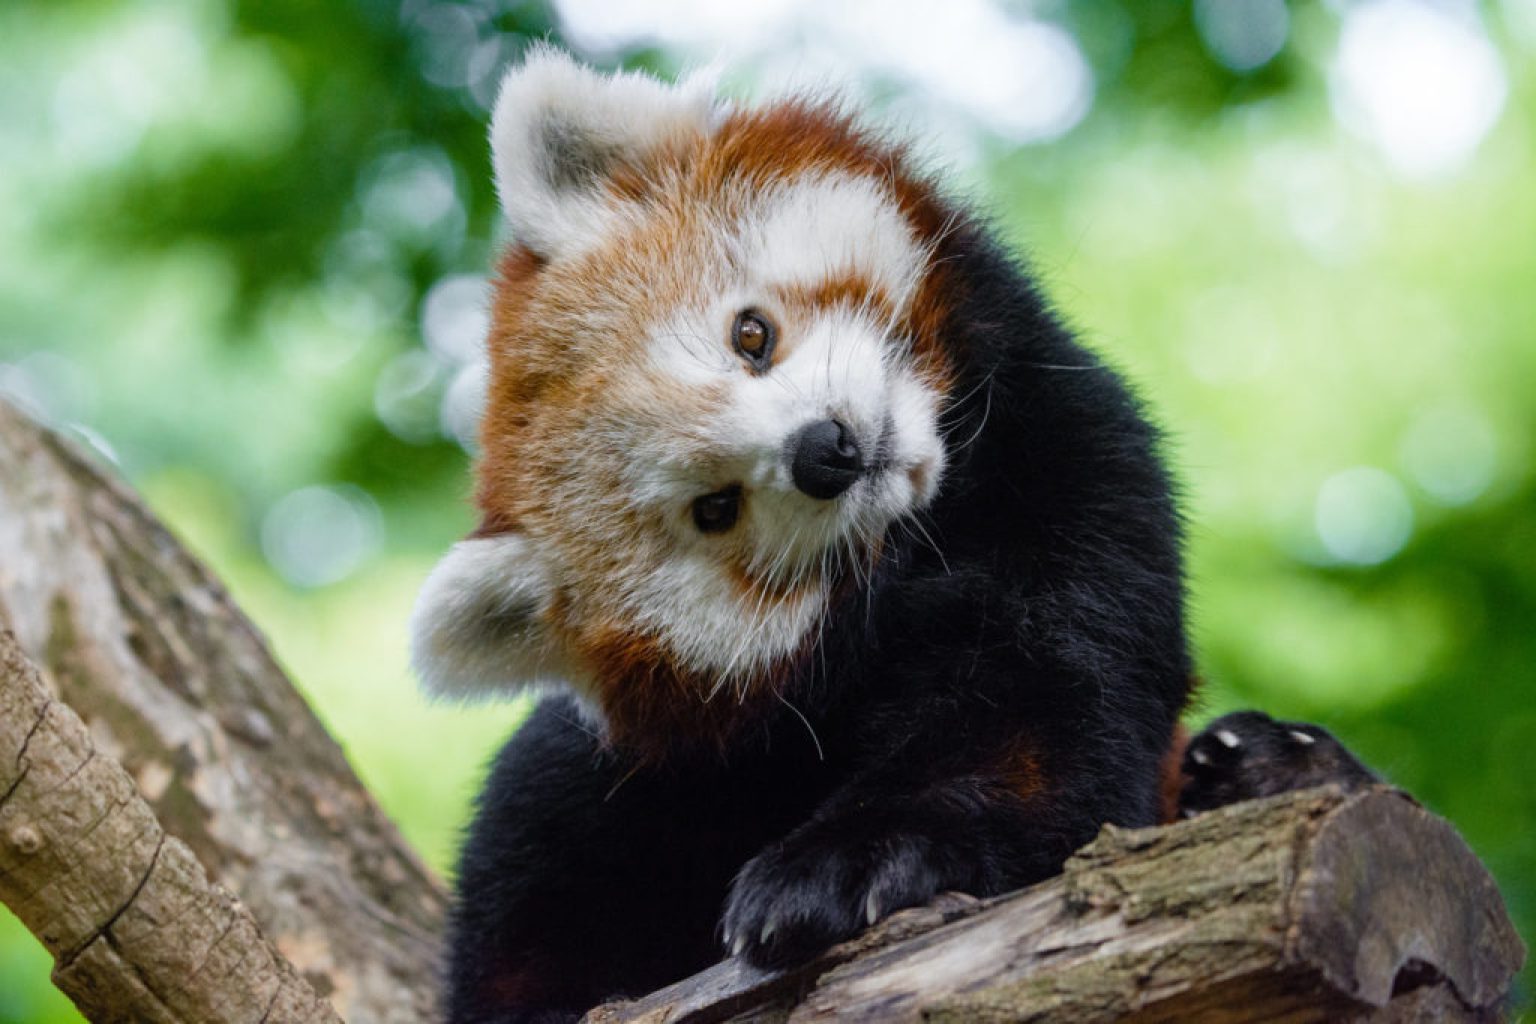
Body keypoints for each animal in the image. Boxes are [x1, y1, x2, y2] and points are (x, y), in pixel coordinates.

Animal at [409, 48, 1377, 1024]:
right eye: (713, 508)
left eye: (750, 335)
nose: (826, 451)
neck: (929, 540)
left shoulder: (1076, 477)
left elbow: (1043, 708)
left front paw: (845, 861)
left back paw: (1273, 763)